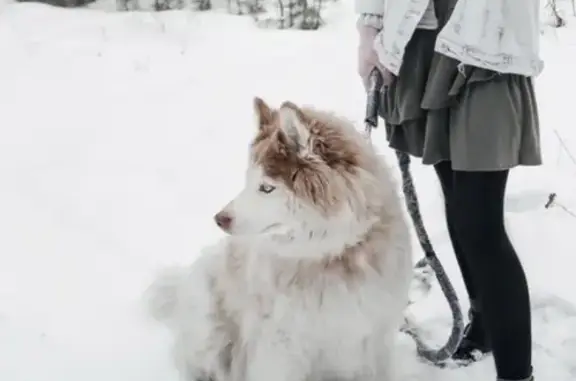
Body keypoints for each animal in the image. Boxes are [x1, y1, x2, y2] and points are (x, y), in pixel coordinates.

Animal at [146, 97, 412, 380]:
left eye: (266, 188)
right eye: (248, 180)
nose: (219, 219)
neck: (332, 255)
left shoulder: (374, 337)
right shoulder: (281, 345)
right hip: (209, 318)